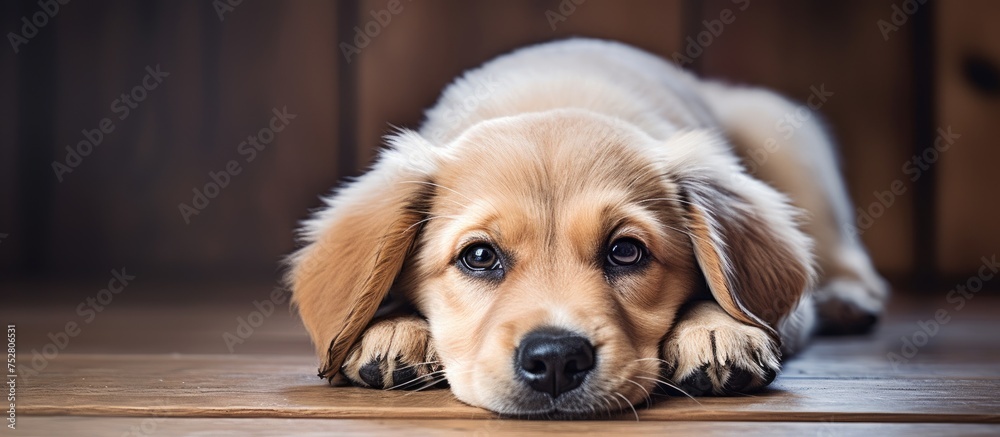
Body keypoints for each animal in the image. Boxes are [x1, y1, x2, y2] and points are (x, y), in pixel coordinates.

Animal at [286, 39, 888, 418]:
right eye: (479, 257)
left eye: (626, 252)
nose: (554, 361)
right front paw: (391, 331)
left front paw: (718, 328)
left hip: (789, 136)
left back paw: (848, 298)